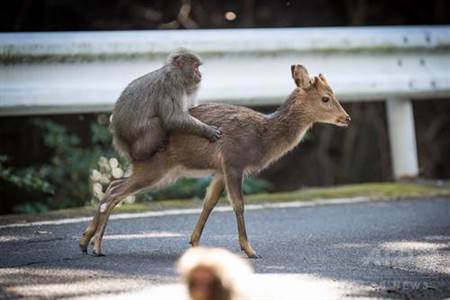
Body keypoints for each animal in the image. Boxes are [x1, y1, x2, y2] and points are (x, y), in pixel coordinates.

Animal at [79, 64, 350, 258]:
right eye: (326, 98)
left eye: (333, 94)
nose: (346, 118)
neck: (262, 138)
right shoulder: (233, 162)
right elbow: (238, 204)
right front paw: (250, 250)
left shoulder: (219, 170)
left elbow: (208, 203)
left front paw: (195, 243)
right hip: (156, 168)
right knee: (115, 192)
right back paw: (97, 246)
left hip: (158, 171)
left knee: (113, 185)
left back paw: (85, 241)